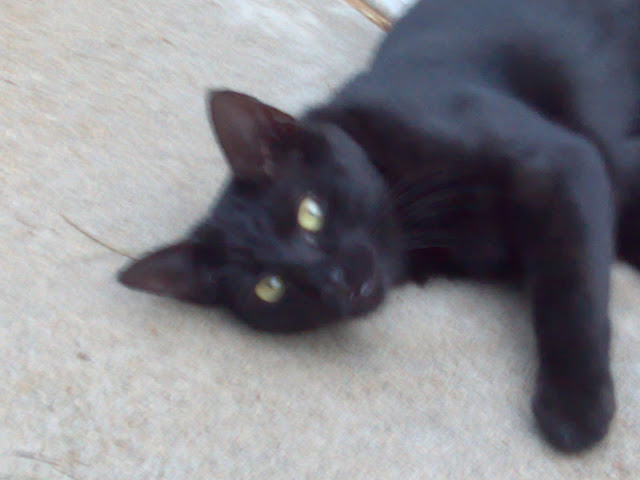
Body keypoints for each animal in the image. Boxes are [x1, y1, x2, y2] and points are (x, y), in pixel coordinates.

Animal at [118, 0, 640, 453]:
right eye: (269, 287)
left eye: (310, 212)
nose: (333, 281)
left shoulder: (563, 162)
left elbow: (570, 288)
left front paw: (575, 404)